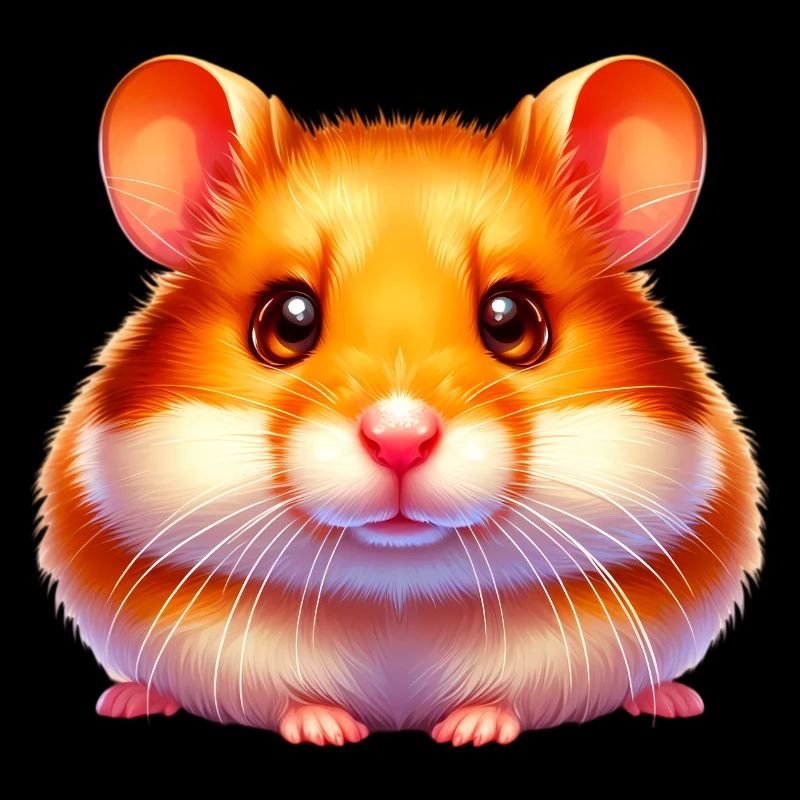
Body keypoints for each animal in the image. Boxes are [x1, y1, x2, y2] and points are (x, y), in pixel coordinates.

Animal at [36, 54, 762, 746]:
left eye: (511, 321)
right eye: (287, 320)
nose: (399, 438)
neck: (399, 595)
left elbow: (516, 700)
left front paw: (471, 732)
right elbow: (282, 700)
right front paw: (328, 732)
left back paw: (672, 699)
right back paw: (127, 700)